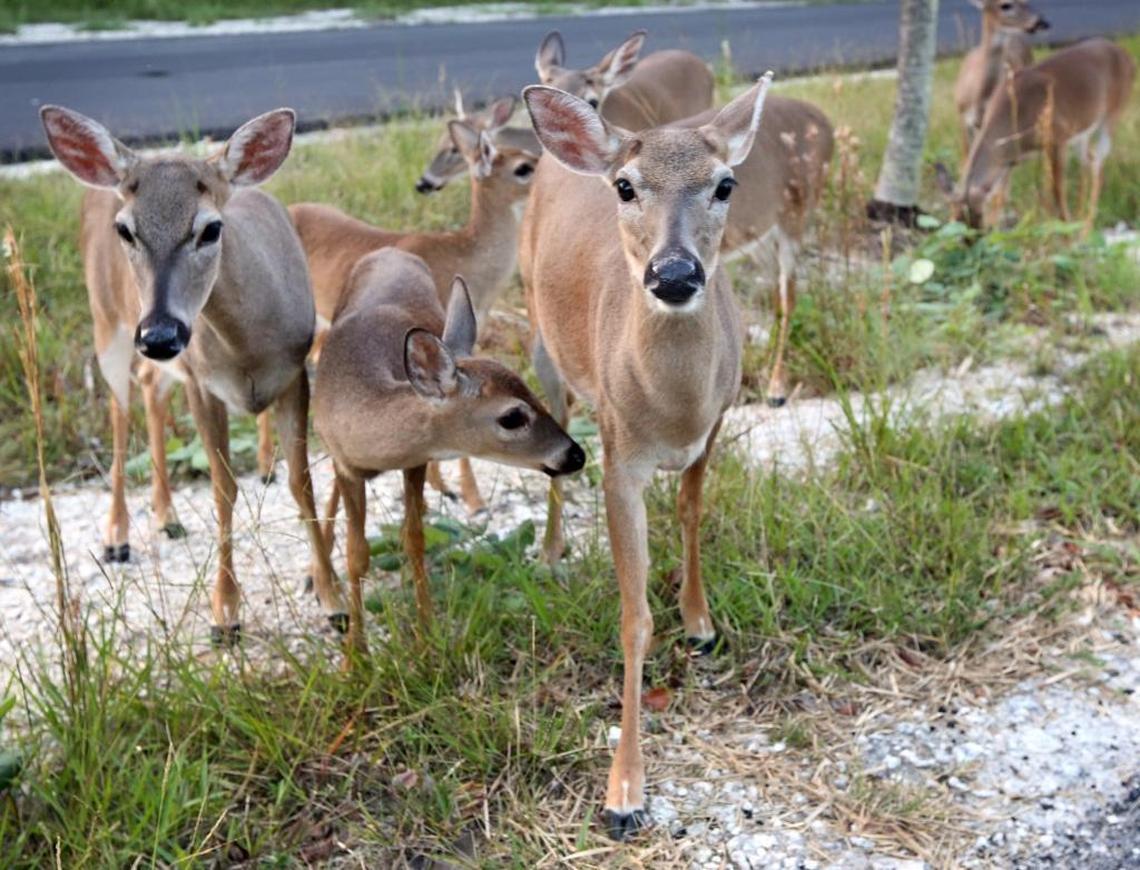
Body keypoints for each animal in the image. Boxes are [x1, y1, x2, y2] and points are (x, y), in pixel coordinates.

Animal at [41, 105, 347, 645]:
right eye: (126, 230)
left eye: (210, 228)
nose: (161, 333)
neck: (249, 347)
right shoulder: (205, 386)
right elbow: (223, 490)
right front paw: (225, 612)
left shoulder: (294, 375)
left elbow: (302, 482)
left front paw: (332, 599)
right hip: (108, 322)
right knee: (119, 408)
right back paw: (117, 535)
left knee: (149, 387)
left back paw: (167, 516)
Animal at [311, 248, 584, 653]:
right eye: (512, 417)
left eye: (532, 392)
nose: (575, 454)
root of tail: (391, 250)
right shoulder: (346, 463)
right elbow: (357, 554)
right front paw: (355, 654)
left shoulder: (416, 460)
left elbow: (415, 540)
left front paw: (426, 636)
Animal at [519, 73, 774, 839]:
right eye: (627, 187)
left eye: (725, 183)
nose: (675, 272)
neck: (672, 408)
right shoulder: (619, 458)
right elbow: (634, 619)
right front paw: (624, 793)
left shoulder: (715, 424)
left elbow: (691, 514)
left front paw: (701, 625)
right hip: (540, 337)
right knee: (553, 432)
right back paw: (549, 552)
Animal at [939, 38, 1135, 230]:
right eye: (953, 220)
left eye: (978, 219)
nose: (972, 240)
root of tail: (1125, 54)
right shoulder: (1009, 159)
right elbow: (1000, 195)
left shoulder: (1058, 138)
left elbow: (1057, 191)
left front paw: (1065, 230)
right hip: (1082, 132)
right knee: (1090, 162)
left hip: (1111, 117)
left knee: (1098, 165)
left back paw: (1085, 227)